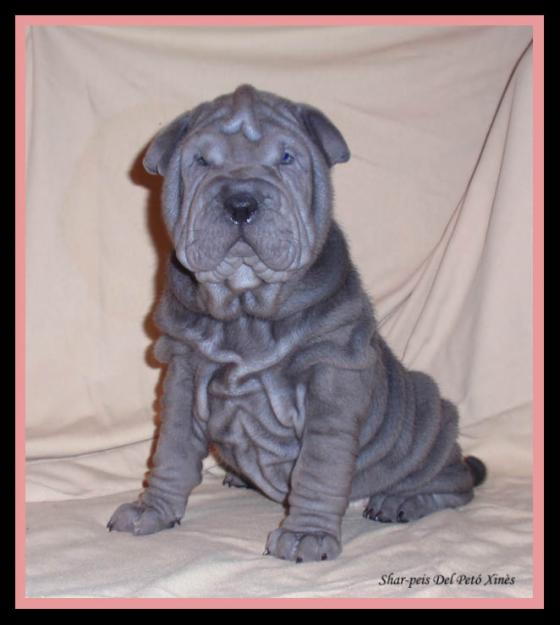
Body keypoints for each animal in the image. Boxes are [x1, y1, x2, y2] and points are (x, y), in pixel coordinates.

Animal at [108, 84, 486, 560]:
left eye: (286, 158)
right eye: (202, 161)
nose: (241, 202)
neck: (246, 309)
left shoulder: (332, 376)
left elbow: (319, 467)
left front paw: (307, 534)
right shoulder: (181, 368)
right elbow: (171, 450)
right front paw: (152, 510)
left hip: (428, 416)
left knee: (454, 482)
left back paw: (401, 501)